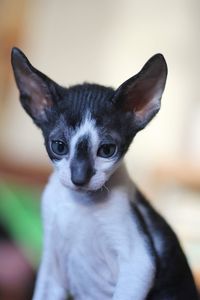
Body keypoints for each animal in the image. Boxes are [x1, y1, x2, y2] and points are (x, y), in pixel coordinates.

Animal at [10, 48, 198, 300]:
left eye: (107, 150)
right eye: (59, 146)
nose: (79, 178)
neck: (80, 203)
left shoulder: (139, 264)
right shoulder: (51, 265)